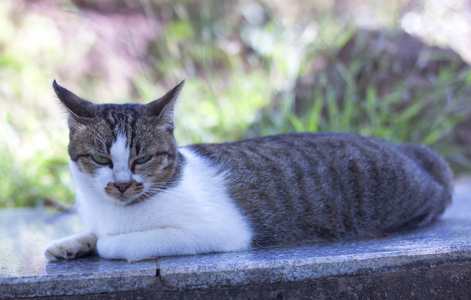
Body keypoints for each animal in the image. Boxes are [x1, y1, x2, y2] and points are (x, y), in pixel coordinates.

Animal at [44, 81, 454, 262]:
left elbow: (119, 243)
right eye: (100, 160)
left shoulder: (220, 231)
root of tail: (407, 150)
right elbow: (94, 233)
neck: (115, 211)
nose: (122, 185)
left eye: (142, 159)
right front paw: (72, 242)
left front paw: (104, 243)